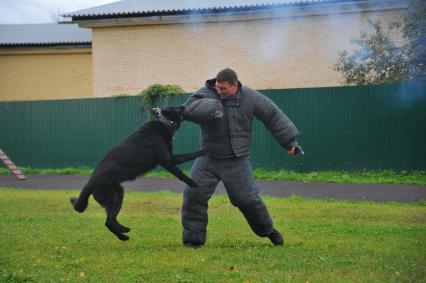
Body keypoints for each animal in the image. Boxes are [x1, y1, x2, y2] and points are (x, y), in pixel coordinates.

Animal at [70, 106, 206, 242]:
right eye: (177, 108)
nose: (184, 106)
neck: (164, 121)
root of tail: (90, 183)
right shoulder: (168, 160)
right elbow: (187, 160)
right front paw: (196, 170)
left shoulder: (168, 161)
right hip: (114, 196)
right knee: (109, 221)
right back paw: (123, 236)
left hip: (116, 194)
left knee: (110, 220)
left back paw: (123, 230)